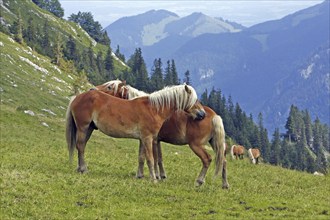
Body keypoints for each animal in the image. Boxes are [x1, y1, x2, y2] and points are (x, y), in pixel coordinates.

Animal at [65, 83, 205, 181]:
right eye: (194, 100)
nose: (203, 114)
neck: (154, 109)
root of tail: (77, 97)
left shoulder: (143, 139)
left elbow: (141, 157)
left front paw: (140, 176)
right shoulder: (148, 138)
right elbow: (151, 159)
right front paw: (154, 179)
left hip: (88, 129)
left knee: (81, 146)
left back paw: (81, 168)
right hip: (83, 127)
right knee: (81, 146)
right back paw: (83, 169)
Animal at [94, 80, 229, 188]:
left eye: (109, 87)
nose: (93, 89)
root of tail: (214, 115)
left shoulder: (153, 140)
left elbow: (154, 158)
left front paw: (156, 176)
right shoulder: (148, 139)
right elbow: (147, 157)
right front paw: (146, 175)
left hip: (196, 145)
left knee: (207, 159)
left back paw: (199, 181)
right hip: (215, 143)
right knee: (222, 160)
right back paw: (225, 184)